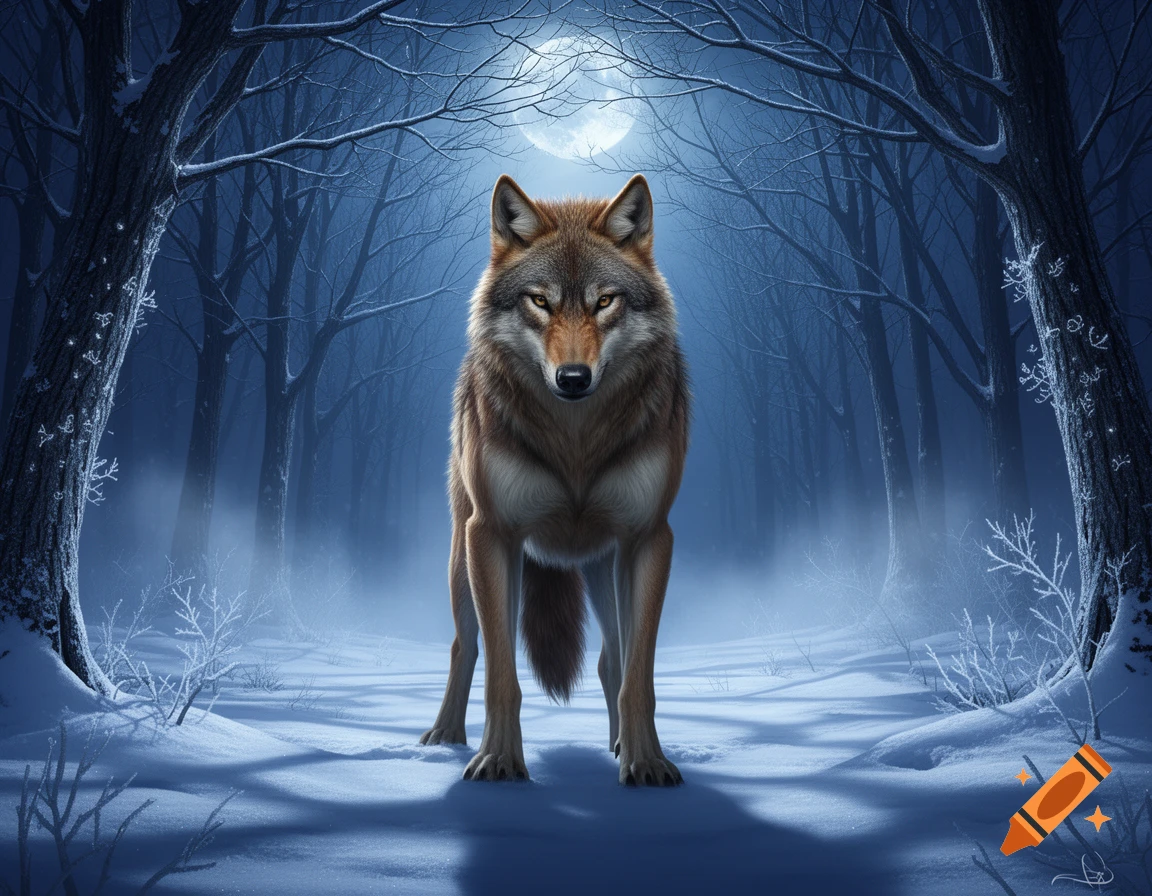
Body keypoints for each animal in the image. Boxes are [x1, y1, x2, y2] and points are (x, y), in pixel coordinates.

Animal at [419, 174, 689, 787]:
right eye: (539, 301)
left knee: (610, 658)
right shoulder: (492, 534)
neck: (575, 440)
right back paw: (444, 738)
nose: (572, 378)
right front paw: (497, 760)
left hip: (604, 568)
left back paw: (618, 745)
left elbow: (639, 676)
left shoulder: (650, 538)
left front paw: (647, 762)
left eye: (604, 301)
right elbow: (501, 675)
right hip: (461, 557)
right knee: (464, 647)